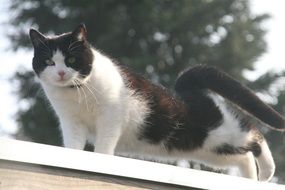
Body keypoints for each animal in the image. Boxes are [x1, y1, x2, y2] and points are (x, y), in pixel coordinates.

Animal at [28, 23, 284, 181]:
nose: (61, 73)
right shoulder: (70, 122)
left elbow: (104, 144)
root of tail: (184, 86)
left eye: (71, 59)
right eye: (49, 62)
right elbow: (73, 145)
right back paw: (252, 179)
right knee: (244, 156)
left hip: (221, 132)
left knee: (253, 134)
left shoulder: (110, 116)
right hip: (212, 150)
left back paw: (267, 172)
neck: (77, 92)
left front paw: (101, 158)